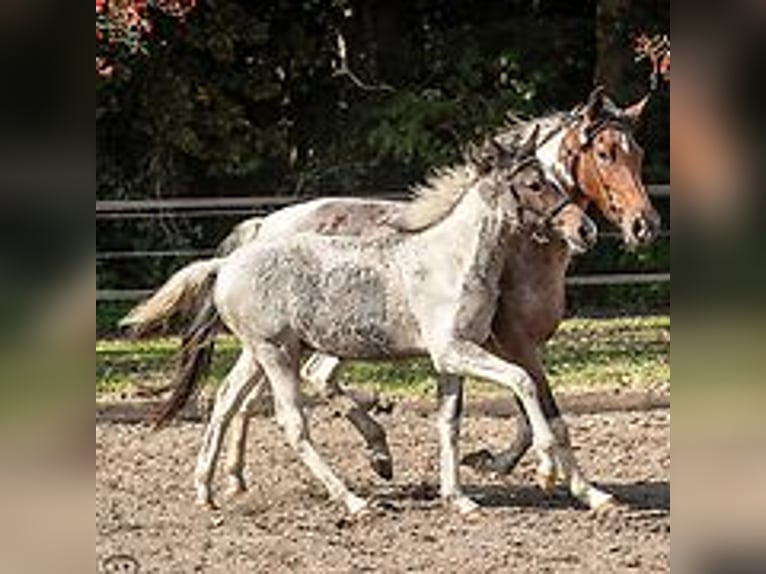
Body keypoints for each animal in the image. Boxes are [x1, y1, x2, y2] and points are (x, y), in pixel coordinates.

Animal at [121, 134, 600, 516]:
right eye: (534, 184)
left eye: (553, 178)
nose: (586, 230)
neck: (453, 261)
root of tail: (226, 264)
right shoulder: (455, 351)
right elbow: (523, 381)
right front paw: (547, 471)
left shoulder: (451, 360)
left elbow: (449, 423)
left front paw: (460, 499)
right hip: (277, 354)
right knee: (291, 422)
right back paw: (354, 500)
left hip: (260, 354)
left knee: (224, 401)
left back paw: (206, 490)